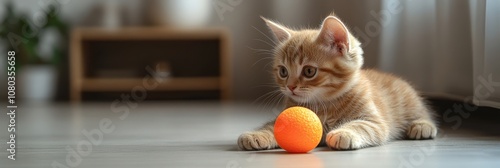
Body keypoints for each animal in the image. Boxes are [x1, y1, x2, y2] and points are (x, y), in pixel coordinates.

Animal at [238, 15, 438, 150]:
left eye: (309, 71)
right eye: (283, 71)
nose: (291, 87)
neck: (323, 104)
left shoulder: (375, 122)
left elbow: (362, 125)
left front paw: (344, 133)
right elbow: (273, 126)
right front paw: (257, 134)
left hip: (410, 103)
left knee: (424, 113)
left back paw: (422, 126)